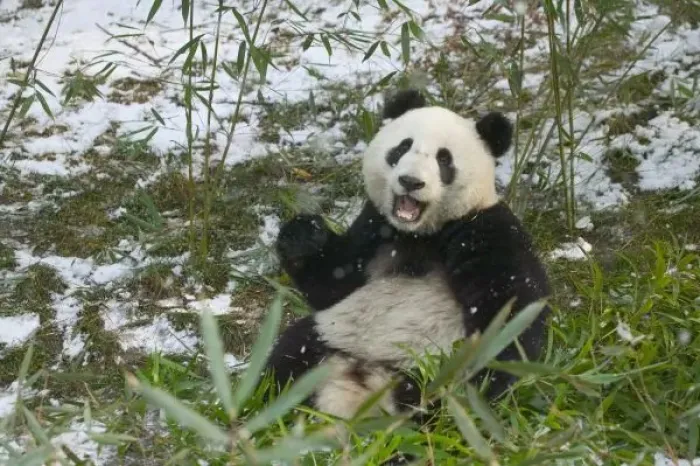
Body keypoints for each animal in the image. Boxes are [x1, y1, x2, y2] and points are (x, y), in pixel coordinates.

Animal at [265, 88, 551, 421]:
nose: (411, 182)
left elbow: (511, 308)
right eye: (402, 147)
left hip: (428, 365)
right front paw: (304, 234)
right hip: (332, 335)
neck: (421, 233)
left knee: (431, 403)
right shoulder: (376, 226)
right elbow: (334, 283)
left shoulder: (484, 229)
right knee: (286, 355)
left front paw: (487, 374)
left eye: (444, 159)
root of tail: (360, 379)